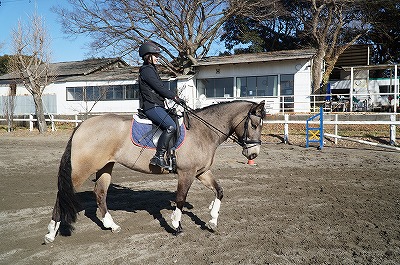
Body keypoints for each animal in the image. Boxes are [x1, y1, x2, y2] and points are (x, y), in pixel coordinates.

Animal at [44, 100, 266, 242]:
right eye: (255, 124)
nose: (253, 154)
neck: (203, 131)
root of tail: (82, 126)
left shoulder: (201, 172)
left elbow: (219, 191)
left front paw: (212, 220)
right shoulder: (186, 173)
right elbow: (180, 199)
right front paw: (176, 226)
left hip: (105, 166)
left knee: (100, 193)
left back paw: (111, 225)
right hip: (82, 168)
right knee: (62, 194)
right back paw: (51, 233)